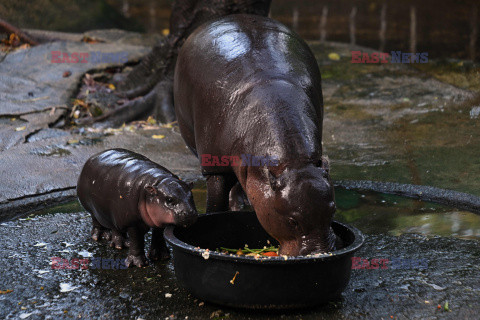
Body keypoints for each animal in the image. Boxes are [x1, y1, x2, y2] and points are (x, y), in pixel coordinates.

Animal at [174, 14, 340, 255]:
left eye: (333, 211)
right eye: (292, 221)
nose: (318, 253)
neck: (293, 162)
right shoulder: (214, 165)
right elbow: (216, 201)